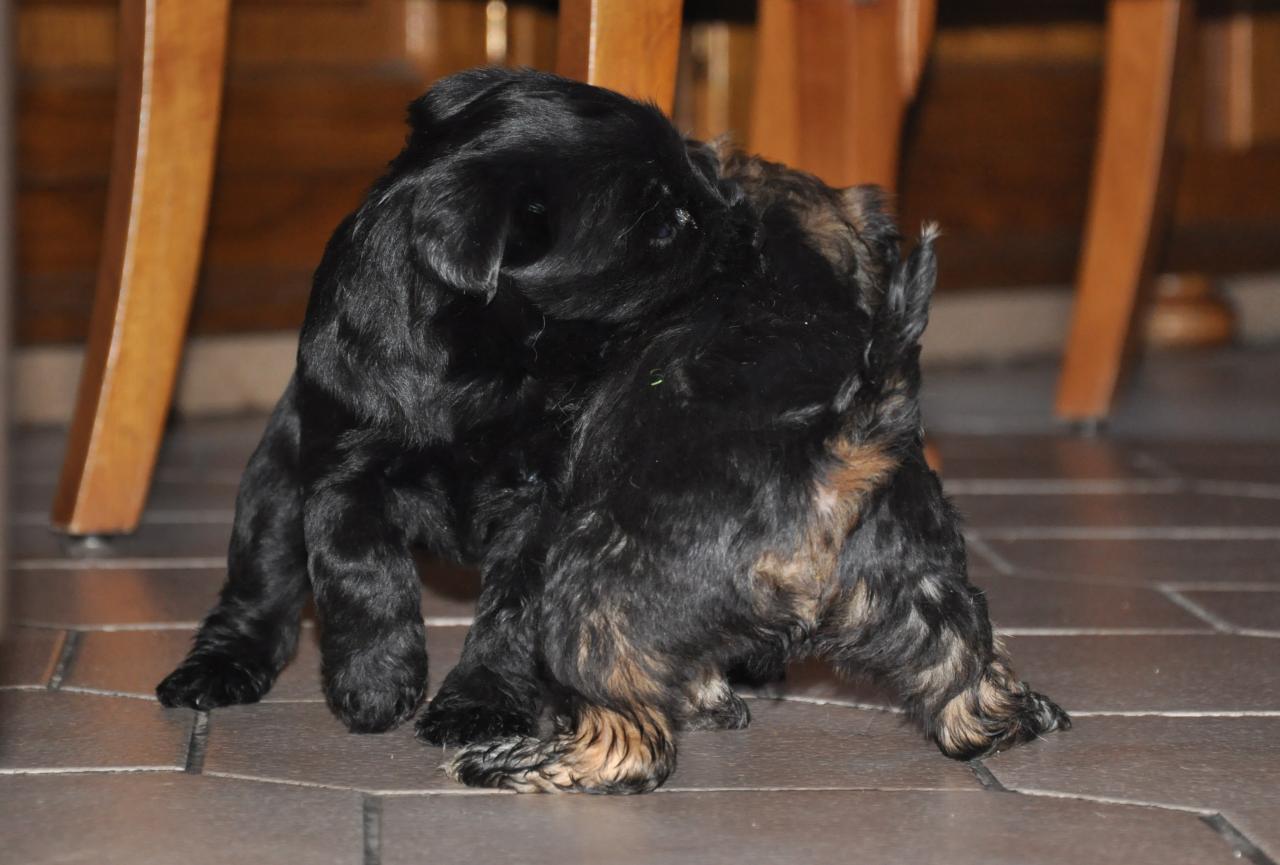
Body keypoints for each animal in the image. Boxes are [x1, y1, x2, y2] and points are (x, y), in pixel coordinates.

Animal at [156, 68, 743, 736]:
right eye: (667, 222)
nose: (728, 200)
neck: (481, 360)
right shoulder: (344, 473)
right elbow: (362, 574)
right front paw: (376, 682)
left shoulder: (547, 498)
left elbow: (516, 606)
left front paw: (480, 701)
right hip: (272, 488)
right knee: (260, 585)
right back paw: (218, 665)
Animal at [441, 151, 1071, 793]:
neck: (787, 272)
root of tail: (834, 460)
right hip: (926, 588)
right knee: (966, 679)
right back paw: (1019, 715)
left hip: (591, 602)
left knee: (630, 735)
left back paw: (517, 762)